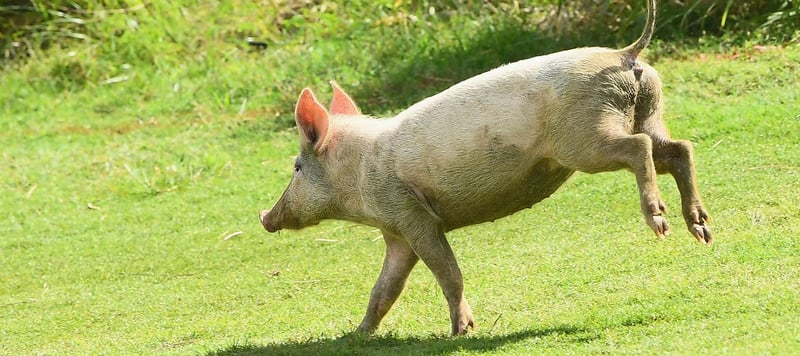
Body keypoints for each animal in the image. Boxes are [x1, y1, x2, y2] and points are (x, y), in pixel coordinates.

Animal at [260, 0, 708, 336]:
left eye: (297, 167)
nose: (265, 216)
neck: (359, 176)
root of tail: (624, 53)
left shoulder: (411, 213)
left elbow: (447, 271)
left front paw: (461, 332)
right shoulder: (396, 232)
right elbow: (384, 289)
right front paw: (358, 334)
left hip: (585, 138)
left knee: (639, 149)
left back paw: (661, 224)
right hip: (648, 109)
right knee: (678, 148)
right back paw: (701, 229)